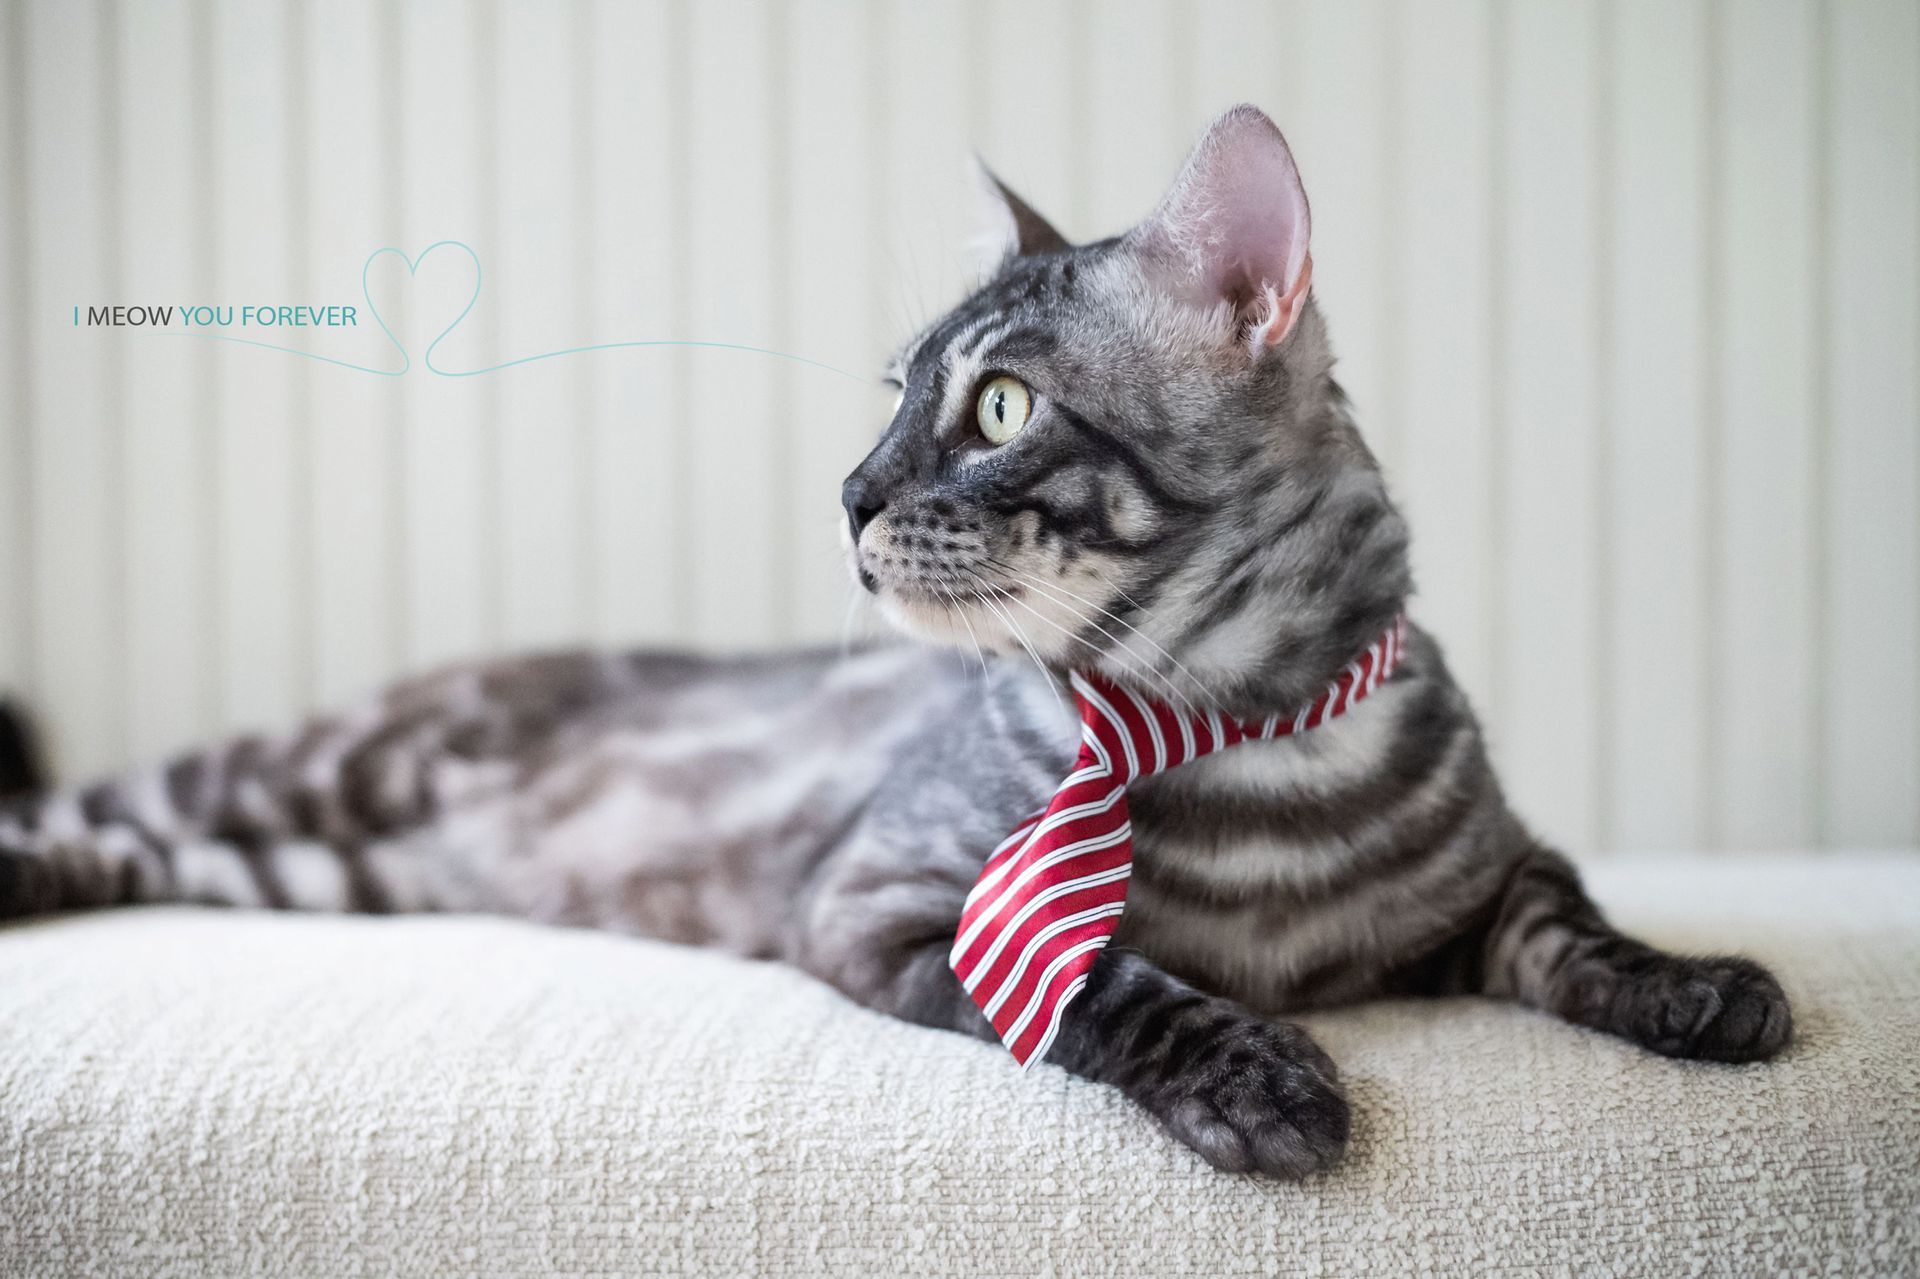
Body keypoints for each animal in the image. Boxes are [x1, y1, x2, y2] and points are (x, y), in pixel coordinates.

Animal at [0, 109, 1781, 1175]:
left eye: (995, 408)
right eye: (895, 397)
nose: (848, 493)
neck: (1235, 737)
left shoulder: (1500, 871)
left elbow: (1570, 924)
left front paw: (1699, 988)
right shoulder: (883, 904)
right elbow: (1106, 979)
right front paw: (1262, 1075)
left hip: (315, 864)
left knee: (137, 851)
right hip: (311, 773)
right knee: (92, 808)